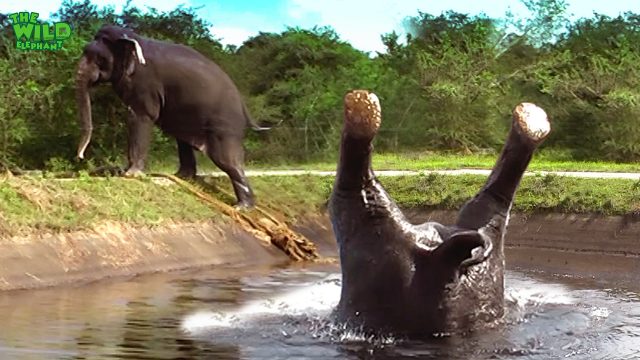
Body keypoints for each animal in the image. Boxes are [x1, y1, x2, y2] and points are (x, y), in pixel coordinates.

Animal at [74, 23, 270, 207]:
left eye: (99, 58)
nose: (81, 156)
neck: (132, 37)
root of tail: (242, 103)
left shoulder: (145, 84)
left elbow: (140, 116)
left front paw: (130, 175)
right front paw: (124, 172)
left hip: (224, 125)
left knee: (226, 159)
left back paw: (241, 207)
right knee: (184, 141)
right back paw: (182, 177)